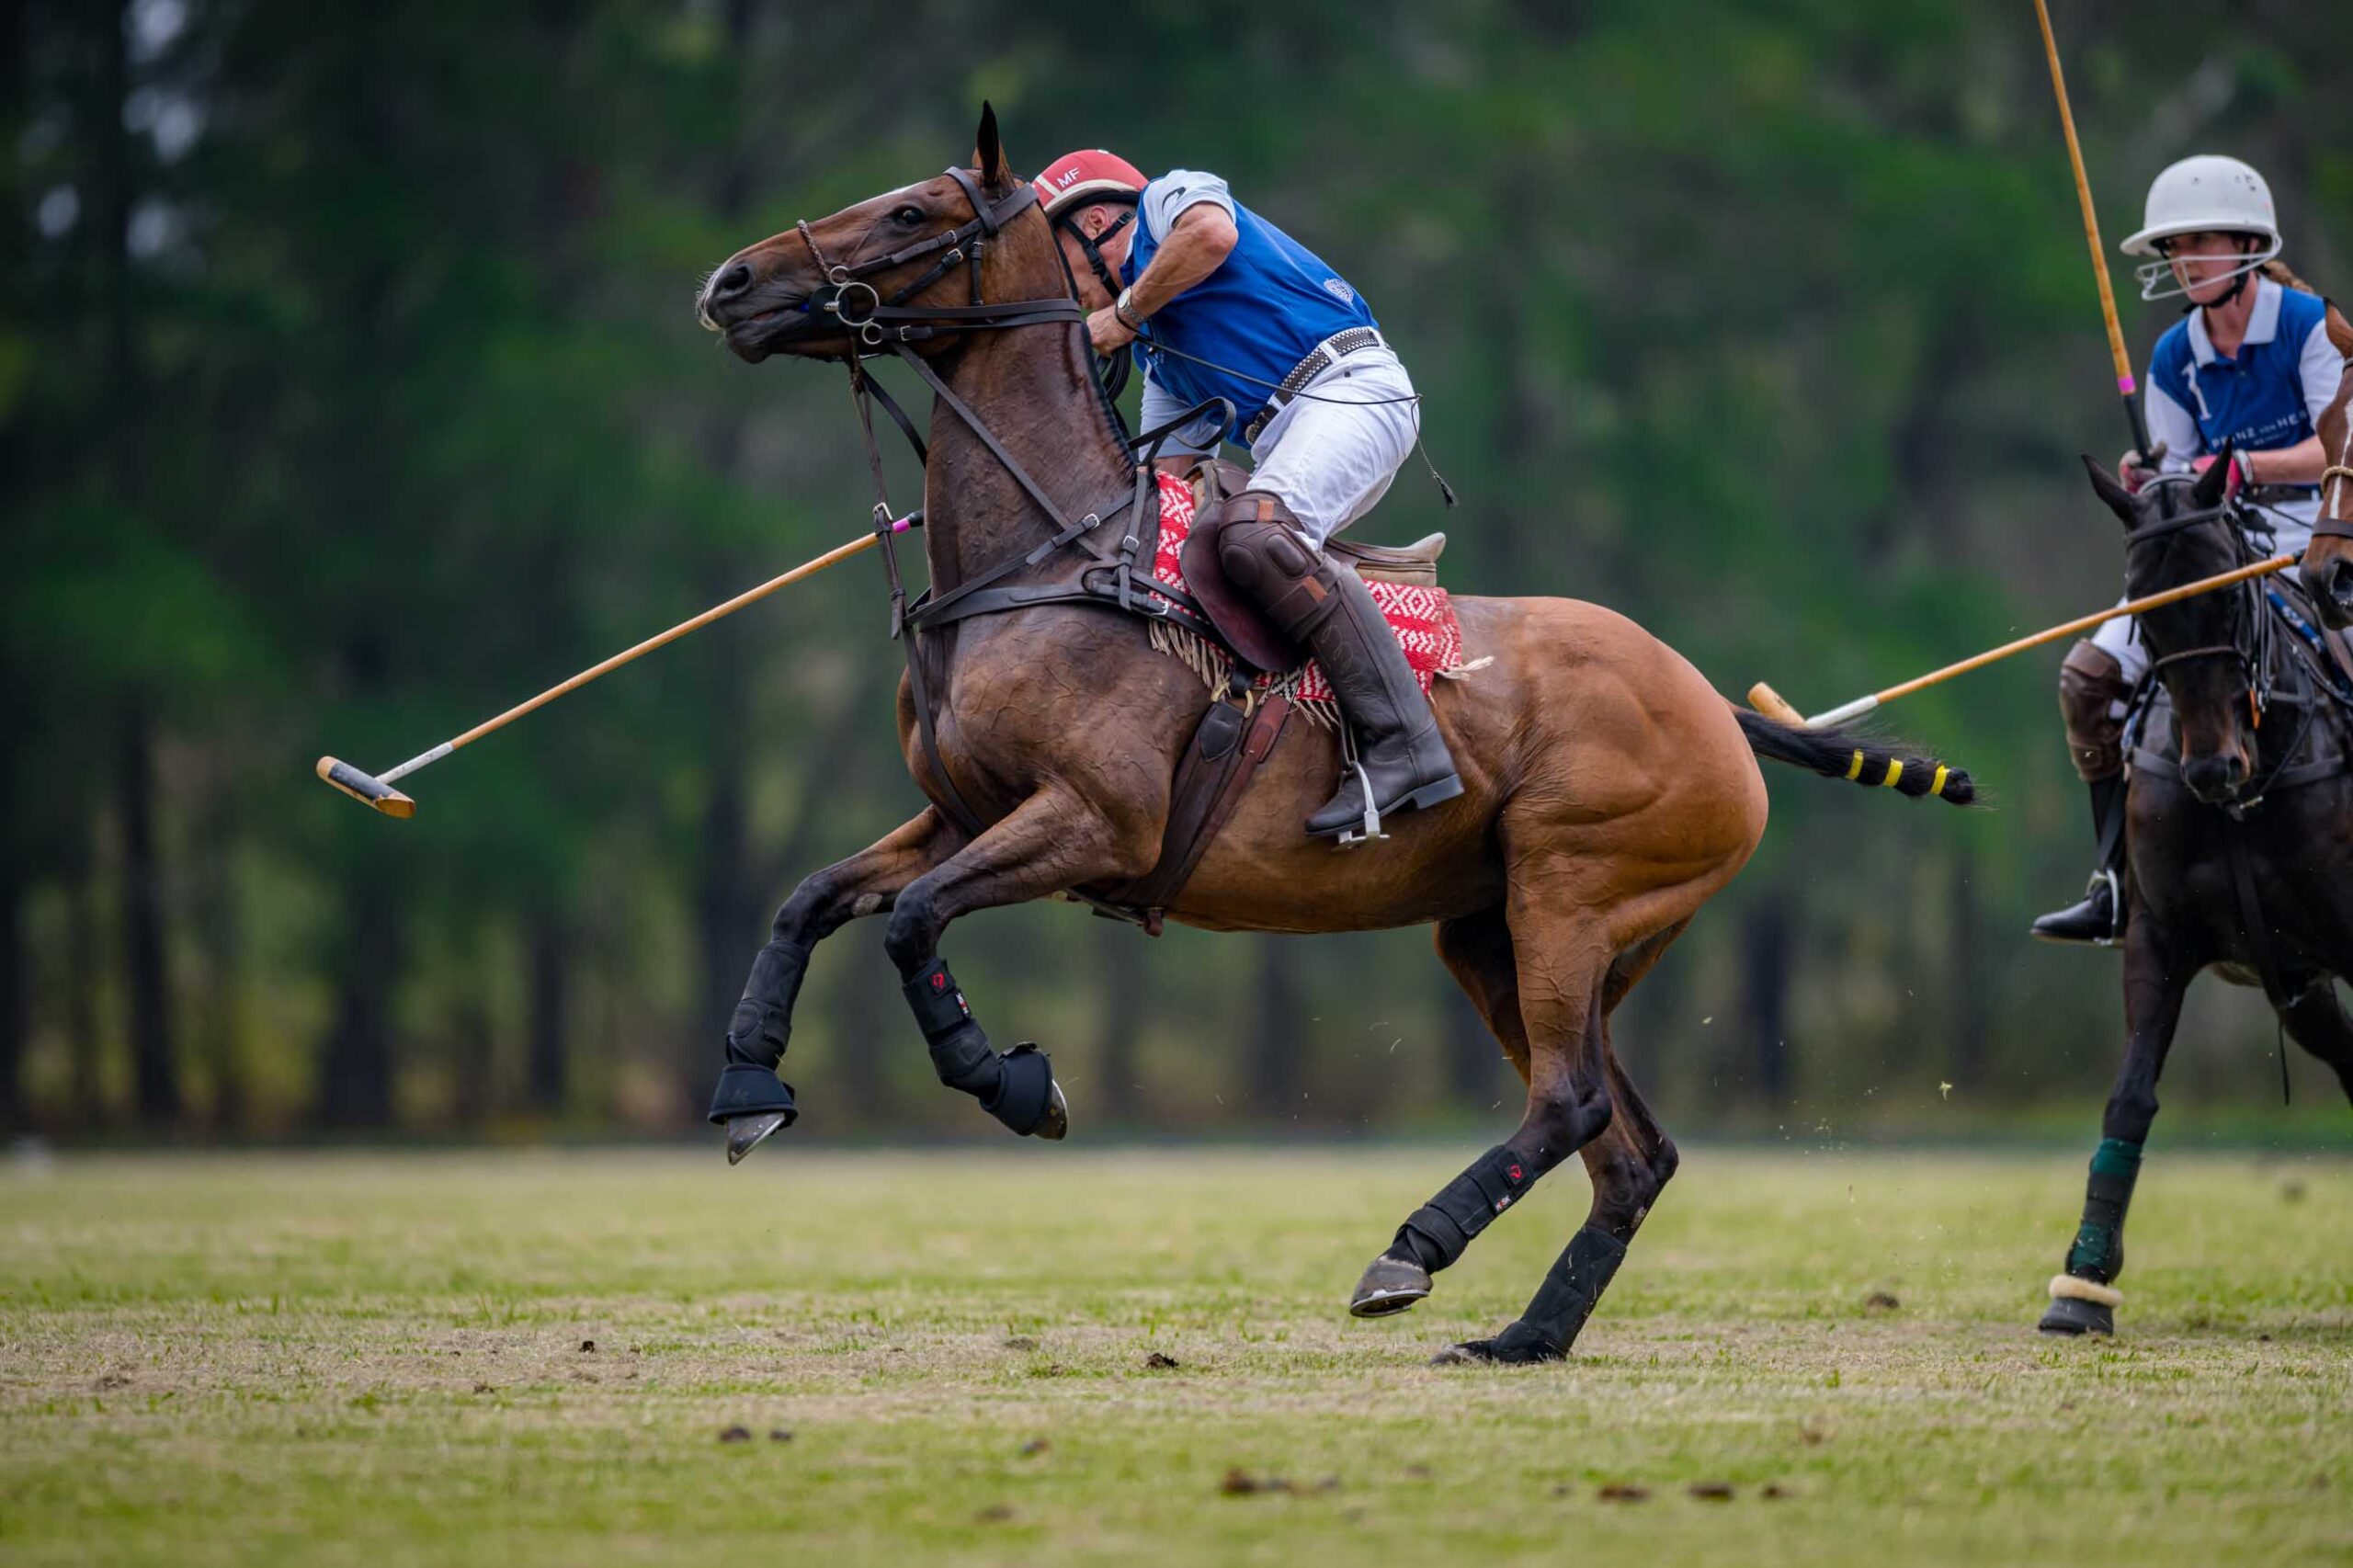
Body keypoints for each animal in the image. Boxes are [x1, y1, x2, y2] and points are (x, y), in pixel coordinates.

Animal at [693, 106, 1975, 1365]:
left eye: (914, 211)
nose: (729, 282)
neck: (1048, 555)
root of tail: (1715, 706)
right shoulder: (968, 811)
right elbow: (812, 897)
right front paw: (750, 1083)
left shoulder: (1097, 821)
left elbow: (912, 920)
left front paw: (1011, 1080)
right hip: (1502, 934)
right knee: (1628, 1146)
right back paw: (1523, 1334)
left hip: (1570, 893)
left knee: (1571, 1101)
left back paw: (1411, 1251)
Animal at [2039, 451, 2353, 1337]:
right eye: (2145, 617)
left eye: (2226, 594)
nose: (2213, 769)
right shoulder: (2160, 939)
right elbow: (2129, 1099)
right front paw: (2082, 1284)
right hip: (2296, 985)